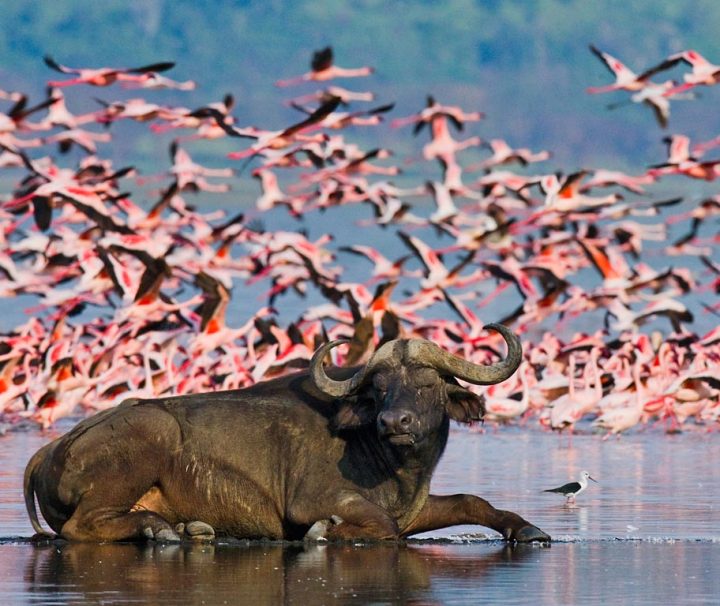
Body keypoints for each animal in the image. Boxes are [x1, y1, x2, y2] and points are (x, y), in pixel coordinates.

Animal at [22, 328, 552, 548]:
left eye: (426, 384)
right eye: (379, 388)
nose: (395, 422)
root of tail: (50, 449)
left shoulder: (415, 509)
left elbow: (471, 501)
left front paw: (528, 529)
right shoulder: (311, 501)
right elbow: (378, 524)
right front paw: (327, 533)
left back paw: (187, 529)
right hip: (149, 434)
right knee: (80, 527)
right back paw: (161, 531)